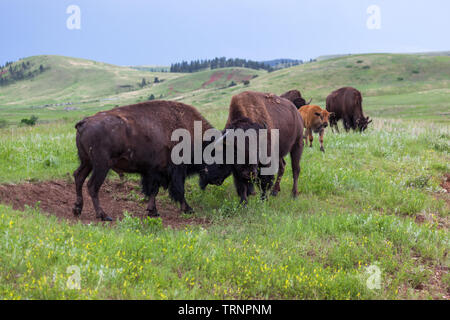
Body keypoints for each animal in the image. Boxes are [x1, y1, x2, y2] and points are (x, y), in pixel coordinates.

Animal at [74, 100, 232, 220]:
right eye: (220, 157)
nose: (219, 181)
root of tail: (84, 122)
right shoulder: (175, 171)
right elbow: (178, 190)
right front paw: (188, 209)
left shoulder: (153, 172)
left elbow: (153, 190)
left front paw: (153, 211)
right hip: (101, 166)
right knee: (92, 186)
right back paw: (103, 215)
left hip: (87, 162)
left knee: (78, 177)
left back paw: (77, 209)